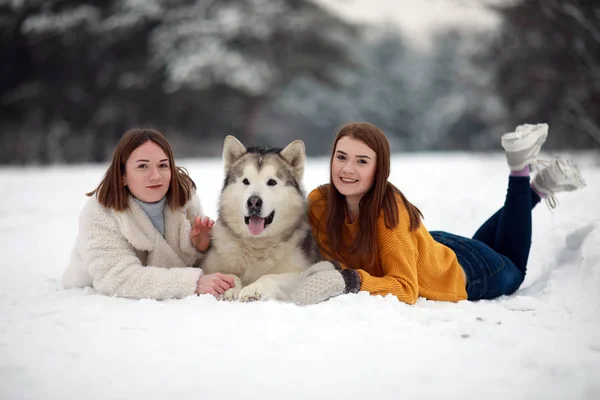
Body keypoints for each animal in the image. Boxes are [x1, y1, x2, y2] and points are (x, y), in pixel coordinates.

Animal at [200, 136, 324, 302]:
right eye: (246, 181)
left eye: (271, 182)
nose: (253, 202)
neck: (257, 244)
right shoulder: (209, 265)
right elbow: (228, 274)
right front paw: (230, 288)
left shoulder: (301, 271)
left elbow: (271, 276)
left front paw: (254, 288)